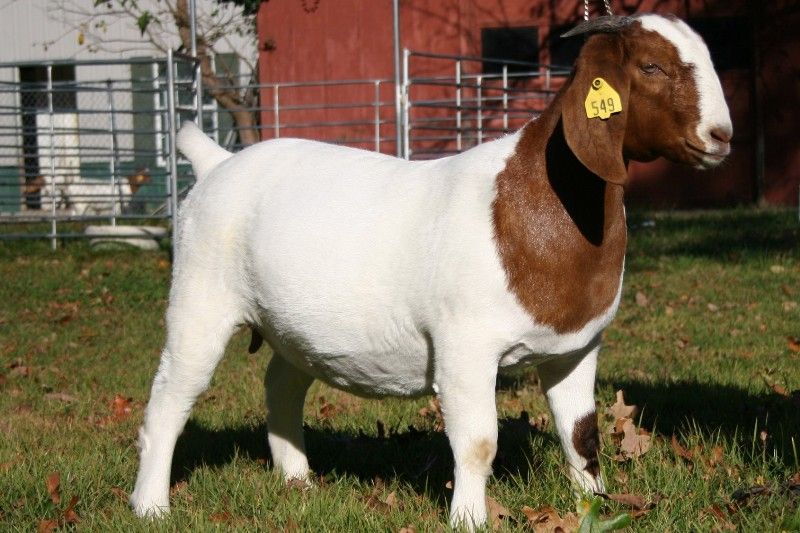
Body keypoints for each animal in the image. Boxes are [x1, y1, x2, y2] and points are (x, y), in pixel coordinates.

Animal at [131, 14, 731, 529]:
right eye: (651, 66)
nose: (721, 136)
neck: (535, 202)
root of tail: (216, 163)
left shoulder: (576, 347)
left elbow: (582, 436)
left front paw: (594, 507)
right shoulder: (465, 345)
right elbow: (479, 441)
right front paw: (468, 519)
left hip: (293, 327)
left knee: (282, 383)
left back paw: (298, 481)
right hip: (200, 298)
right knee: (170, 397)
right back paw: (151, 506)